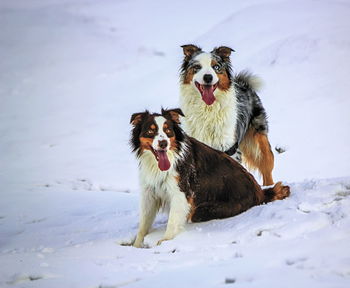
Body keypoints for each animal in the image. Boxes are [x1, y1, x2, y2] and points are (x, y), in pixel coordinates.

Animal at [130, 109, 288, 246]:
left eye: (168, 131)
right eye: (150, 131)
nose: (163, 143)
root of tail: (260, 192)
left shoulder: (180, 193)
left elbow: (172, 222)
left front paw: (164, 242)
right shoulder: (149, 193)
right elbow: (143, 223)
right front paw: (137, 245)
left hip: (206, 209)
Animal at [180, 44, 276, 186]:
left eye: (216, 67)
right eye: (197, 67)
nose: (208, 77)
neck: (207, 109)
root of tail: (244, 84)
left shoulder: (228, 148)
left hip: (258, 142)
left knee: (266, 168)